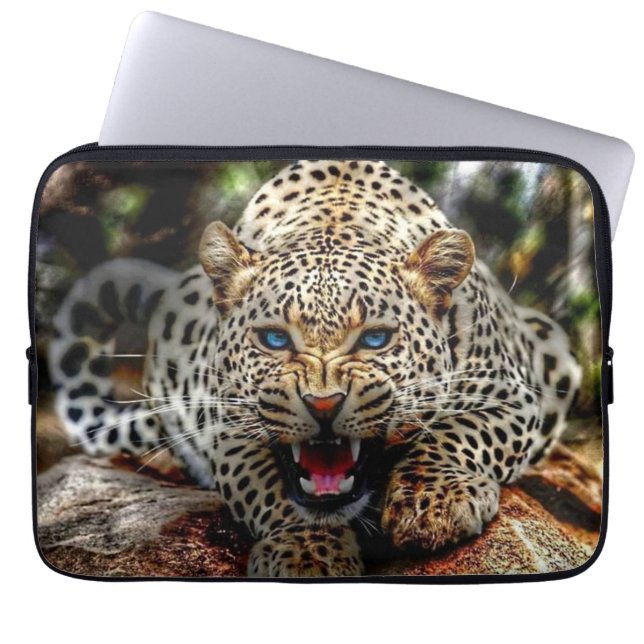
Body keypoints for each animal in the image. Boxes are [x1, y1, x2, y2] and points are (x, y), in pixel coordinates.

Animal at [47, 159, 581, 577]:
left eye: (375, 339)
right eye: (275, 339)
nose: (323, 405)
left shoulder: (511, 393)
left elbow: (461, 434)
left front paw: (435, 503)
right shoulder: (226, 424)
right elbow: (271, 489)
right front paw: (306, 553)